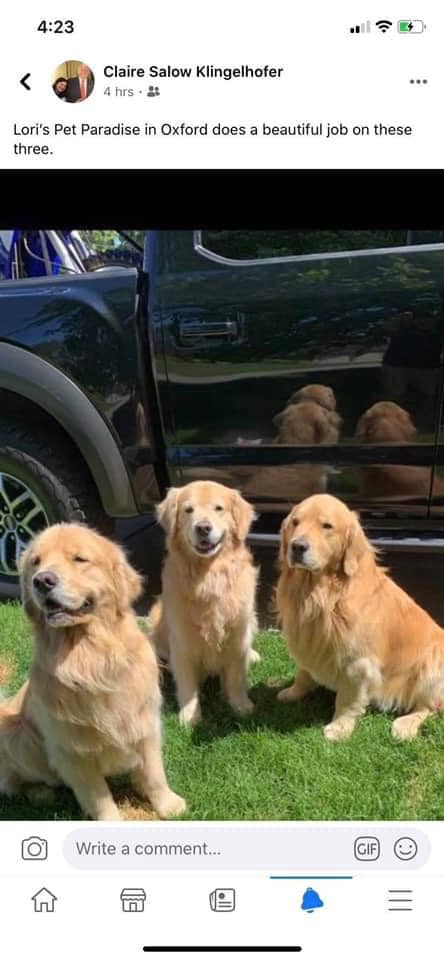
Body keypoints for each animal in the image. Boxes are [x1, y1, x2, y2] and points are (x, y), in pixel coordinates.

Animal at [0, 524, 186, 821]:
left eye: (79, 559)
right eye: (35, 562)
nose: (42, 581)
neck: (90, 658)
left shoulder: (144, 725)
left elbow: (154, 774)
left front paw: (168, 804)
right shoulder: (72, 751)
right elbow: (98, 795)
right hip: (16, 735)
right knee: (12, 781)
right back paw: (40, 793)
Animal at [150, 480, 259, 727]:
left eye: (218, 508)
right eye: (188, 510)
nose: (203, 528)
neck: (209, 577)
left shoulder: (236, 638)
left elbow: (236, 677)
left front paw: (240, 705)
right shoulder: (182, 643)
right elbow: (188, 685)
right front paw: (190, 716)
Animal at [276, 493, 444, 741]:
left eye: (327, 526)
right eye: (295, 522)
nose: (297, 546)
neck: (322, 593)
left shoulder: (358, 663)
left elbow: (347, 699)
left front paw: (339, 728)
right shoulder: (309, 642)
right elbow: (303, 673)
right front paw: (292, 692)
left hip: (432, 664)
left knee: (429, 706)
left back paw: (405, 725)